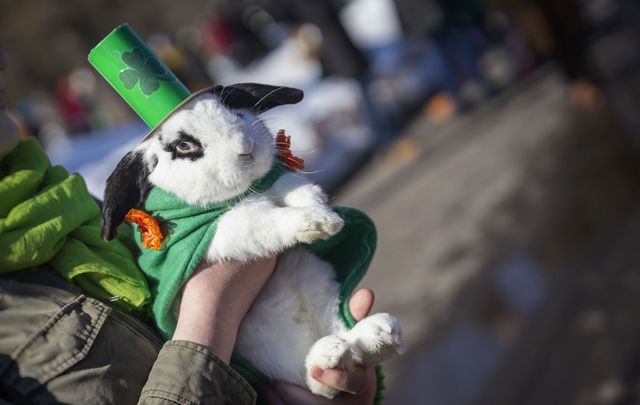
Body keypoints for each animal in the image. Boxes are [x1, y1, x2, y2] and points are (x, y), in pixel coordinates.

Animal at [102, 83, 408, 398]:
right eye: (184, 146)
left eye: (235, 112)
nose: (245, 147)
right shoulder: (219, 233)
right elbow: (262, 220)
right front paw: (319, 222)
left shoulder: (273, 184)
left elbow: (289, 185)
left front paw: (318, 204)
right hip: (274, 356)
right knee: (317, 379)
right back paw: (335, 352)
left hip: (322, 292)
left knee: (340, 349)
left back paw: (378, 335)